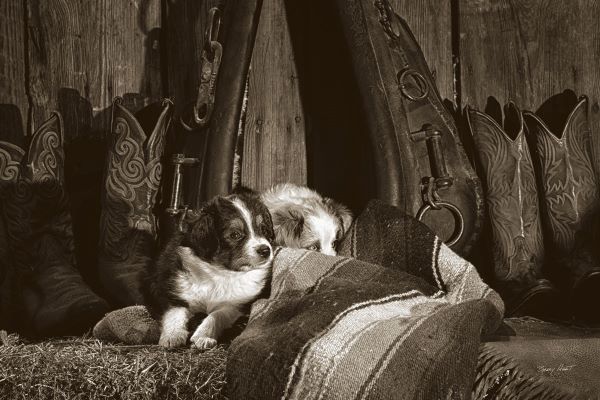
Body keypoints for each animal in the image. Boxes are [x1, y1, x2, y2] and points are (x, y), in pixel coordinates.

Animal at [143, 189, 274, 348]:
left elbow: (217, 315)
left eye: (264, 229)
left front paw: (203, 336)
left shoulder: (239, 304)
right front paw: (172, 335)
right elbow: (174, 313)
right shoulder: (173, 292)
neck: (220, 273)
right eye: (235, 234)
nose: (265, 250)